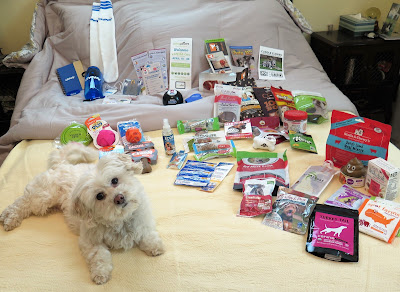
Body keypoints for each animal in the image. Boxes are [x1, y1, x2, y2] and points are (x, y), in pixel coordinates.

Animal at [0, 143, 164, 284]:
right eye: (100, 196)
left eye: (115, 180)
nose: (119, 198)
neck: (120, 220)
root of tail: (63, 164)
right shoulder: (90, 241)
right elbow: (99, 256)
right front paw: (100, 274)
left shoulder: (143, 221)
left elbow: (148, 235)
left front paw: (155, 247)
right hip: (42, 198)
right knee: (23, 202)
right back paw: (9, 218)